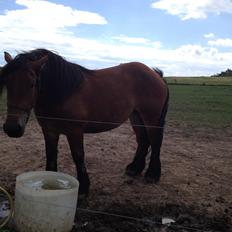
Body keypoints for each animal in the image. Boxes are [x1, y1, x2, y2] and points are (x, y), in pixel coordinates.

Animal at [0, 49, 169, 198]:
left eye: (32, 83)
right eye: (7, 82)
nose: (12, 128)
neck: (62, 92)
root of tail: (155, 74)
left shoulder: (74, 131)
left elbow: (78, 157)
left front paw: (83, 189)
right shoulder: (49, 131)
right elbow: (51, 155)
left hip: (150, 117)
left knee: (155, 141)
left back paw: (152, 174)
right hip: (136, 116)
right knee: (143, 140)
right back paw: (134, 168)